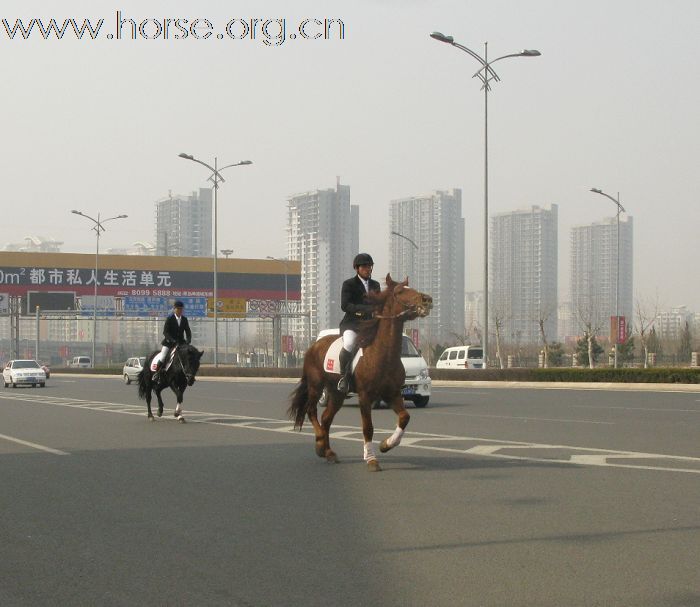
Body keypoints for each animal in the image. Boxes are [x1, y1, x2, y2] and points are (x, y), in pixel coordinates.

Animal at [286, 274, 430, 470]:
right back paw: (320, 443)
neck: (383, 354)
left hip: (337, 393)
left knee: (326, 418)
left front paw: (386, 444)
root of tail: (314, 345)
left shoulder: (392, 393)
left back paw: (329, 452)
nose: (427, 300)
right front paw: (371, 459)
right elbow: (368, 428)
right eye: (400, 291)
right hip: (316, 385)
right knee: (311, 411)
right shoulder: (365, 396)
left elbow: (404, 417)